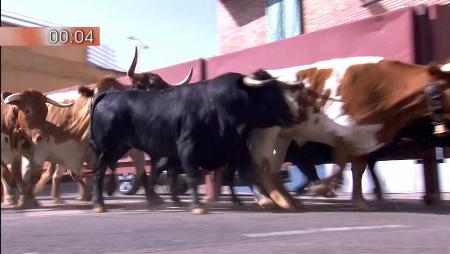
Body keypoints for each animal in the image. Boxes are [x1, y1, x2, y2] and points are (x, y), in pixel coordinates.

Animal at [89, 70, 302, 211]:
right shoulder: (187, 147)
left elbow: (247, 174)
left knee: (150, 175)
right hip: (108, 149)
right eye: (269, 92)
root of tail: (108, 95)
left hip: (122, 149)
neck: (217, 104)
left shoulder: (237, 149)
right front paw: (197, 205)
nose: (293, 117)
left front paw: (263, 199)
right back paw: (99, 203)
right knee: (99, 173)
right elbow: (192, 175)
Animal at [253, 56, 450, 209]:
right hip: (268, 132)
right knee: (261, 164)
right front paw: (321, 189)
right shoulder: (341, 131)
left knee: (273, 167)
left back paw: (287, 200)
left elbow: (358, 169)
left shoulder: (362, 137)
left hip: (283, 137)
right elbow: (341, 164)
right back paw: (276, 201)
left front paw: (360, 201)